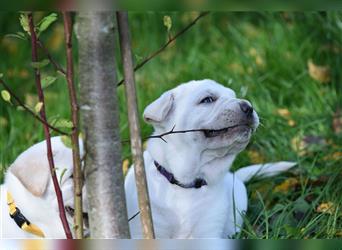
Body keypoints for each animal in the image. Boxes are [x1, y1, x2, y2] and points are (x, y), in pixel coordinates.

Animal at [124, 79, 296, 238]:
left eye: (233, 95)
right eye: (207, 100)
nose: (249, 107)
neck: (187, 182)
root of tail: (234, 176)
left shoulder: (208, 230)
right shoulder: (148, 226)